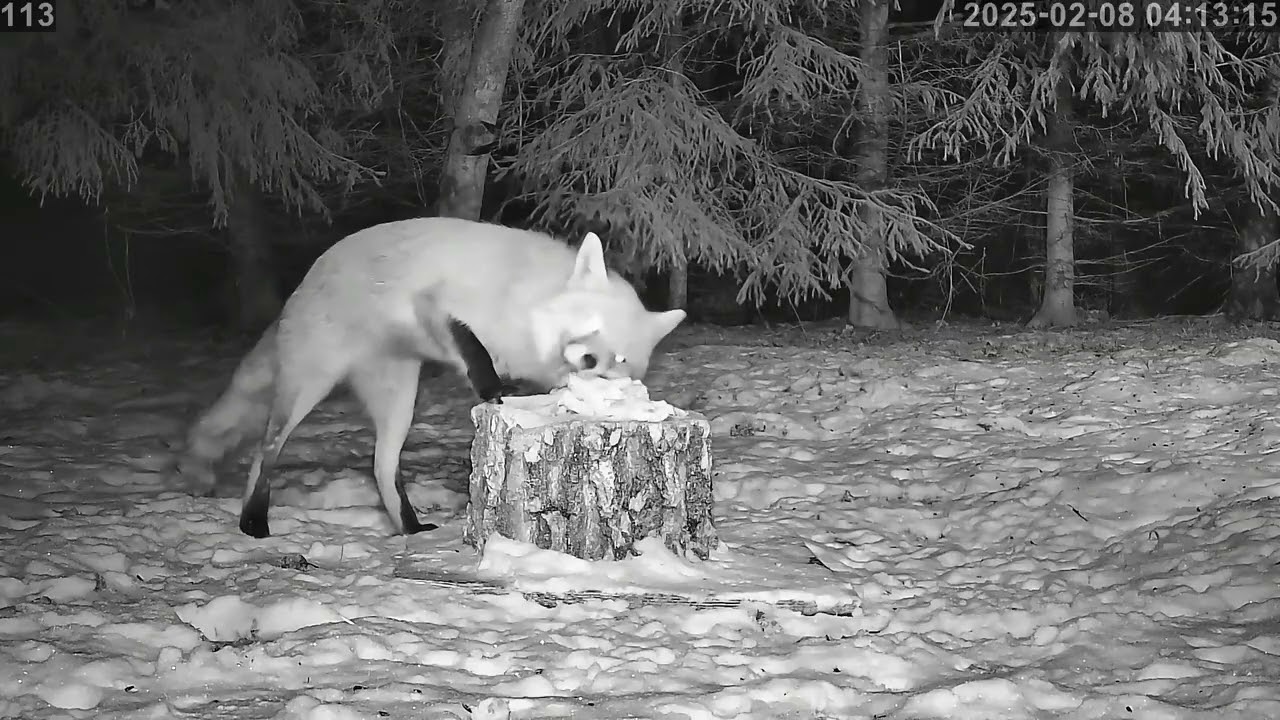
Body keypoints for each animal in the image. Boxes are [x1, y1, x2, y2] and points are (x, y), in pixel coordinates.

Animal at [179, 217, 686, 539]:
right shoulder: (437, 305)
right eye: (590, 323)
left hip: (399, 401)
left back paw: (410, 529)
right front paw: (492, 389)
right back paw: (252, 522)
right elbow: (475, 352)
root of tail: (303, 284)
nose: (588, 359)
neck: (524, 299)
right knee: (266, 450)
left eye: (619, 357)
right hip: (309, 385)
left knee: (382, 468)